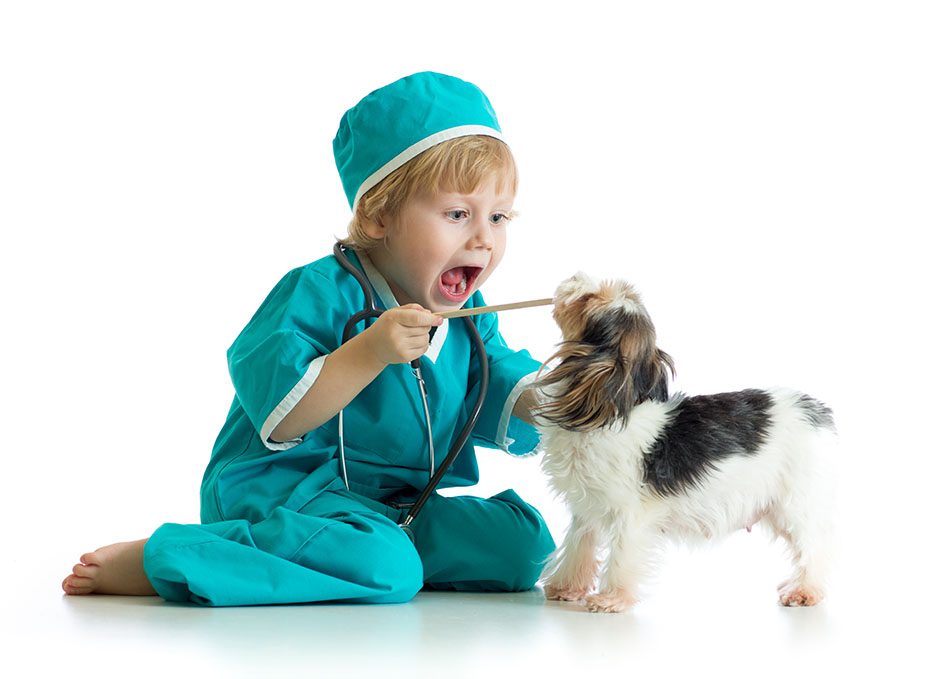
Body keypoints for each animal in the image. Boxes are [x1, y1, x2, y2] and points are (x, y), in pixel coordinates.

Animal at [540, 274, 836, 612]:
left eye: (588, 298)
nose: (576, 277)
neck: (611, 405)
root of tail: (814, 409)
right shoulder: (587, 508)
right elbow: (578, 545)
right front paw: (566, 586)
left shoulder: (630, 513)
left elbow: (621, 554)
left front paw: (611, 599)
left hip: (796, 502)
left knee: (815, 545)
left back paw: (805, 590)